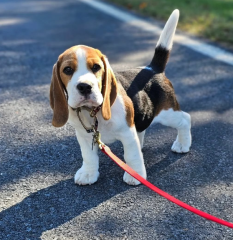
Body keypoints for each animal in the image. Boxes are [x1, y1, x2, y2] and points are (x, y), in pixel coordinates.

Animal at [49, 9, 191, 186]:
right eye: (67, 70)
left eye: (96, 67)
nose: (85, 87)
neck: (93, 112)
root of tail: (152, 69)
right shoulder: (84, 135)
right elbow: (88, 156)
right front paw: (88, 173)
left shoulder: (127, 132)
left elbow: (131, 155)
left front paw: (135, 174)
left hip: (167, 113)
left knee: (185, 119)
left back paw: (182, 144)